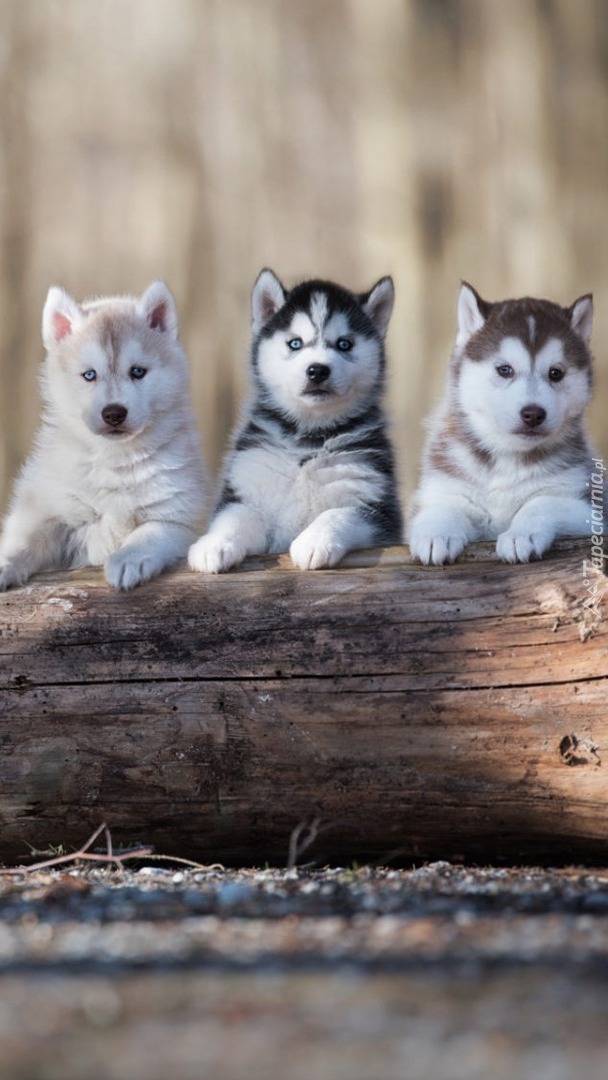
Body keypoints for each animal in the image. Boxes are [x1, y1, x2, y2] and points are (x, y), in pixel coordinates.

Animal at [0, 280, 207, 591]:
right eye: (89, 375)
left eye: (137, 371)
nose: (114, 413)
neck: (115, 459)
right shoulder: (46, 509)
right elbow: (24, 541)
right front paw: (5, 564)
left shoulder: (176, 518)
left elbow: (148, 534)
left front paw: (128, 559)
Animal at [187, 267, 401, 574]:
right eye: (295, 343)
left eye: (344, 344)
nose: (317, 370)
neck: (308, 439)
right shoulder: (247, 488)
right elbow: (234, 517)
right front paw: (215, 544)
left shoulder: (376, 507)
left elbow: (338, 512)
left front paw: (314, 541)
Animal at [406, 278, 596, 565]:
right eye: (504, 370)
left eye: (556, 373)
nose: (533, 414)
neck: (508, 456)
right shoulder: (442, 487)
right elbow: (443, 507)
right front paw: (436, 534)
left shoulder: (589, 507)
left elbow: (543, 502)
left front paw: (521, 535)